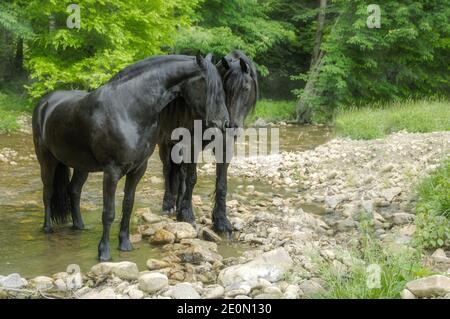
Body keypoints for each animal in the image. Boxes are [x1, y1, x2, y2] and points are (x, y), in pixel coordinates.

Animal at [31, 53, 229, 262]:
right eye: (209, 85)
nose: (224, 122)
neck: (129, 109)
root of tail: (45, 102)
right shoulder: (112, 171)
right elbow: (109, 212)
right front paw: (104, 252)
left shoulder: (138, 169)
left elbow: (128, 205)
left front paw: (125, 244)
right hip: (47, 161)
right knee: (48, 192)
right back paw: (47, 228)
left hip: (81, 165)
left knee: (74, 190)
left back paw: (79, 226)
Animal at [157, 50, 256, 235]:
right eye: (225, 90)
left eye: (246, 89)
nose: (231, 126)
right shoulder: (193, 144)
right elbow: (192, 178)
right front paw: (187, 215)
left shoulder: (224, 147)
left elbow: (221, 183)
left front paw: (222, 222)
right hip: (165, 144)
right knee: (167, 171)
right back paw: (168, 205)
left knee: (180, 173)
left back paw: (178, 203)